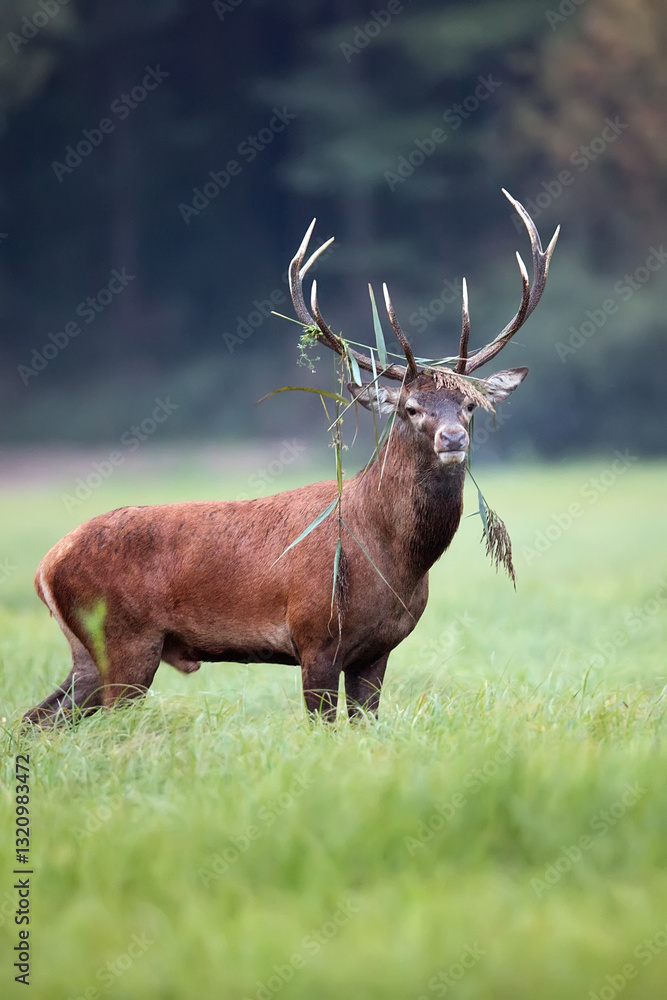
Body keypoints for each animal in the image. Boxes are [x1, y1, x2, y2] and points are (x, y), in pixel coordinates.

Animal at [22, 190, 558, 728]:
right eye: (411, 408)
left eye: (470, 404)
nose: (452, 437)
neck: (391, 560)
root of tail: (46, 566)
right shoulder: (314, 634)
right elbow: (322, 725)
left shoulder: (377, 651)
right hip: (125, 641)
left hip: (89, 656)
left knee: (36, 720)